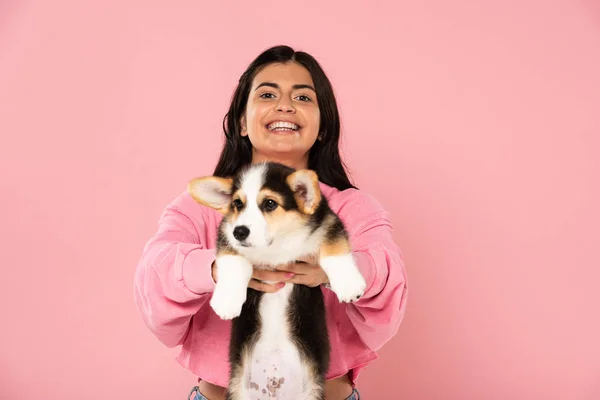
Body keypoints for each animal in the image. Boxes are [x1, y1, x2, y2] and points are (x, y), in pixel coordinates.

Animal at [188, 162, 366, 400]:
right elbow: (235, 263)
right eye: (237, 203)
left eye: (270, 203)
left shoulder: (328, 223)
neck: (277, 243)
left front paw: (349, 285)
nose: (240, 232)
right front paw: (226, 302)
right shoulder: (226, 236)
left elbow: (335, 249)